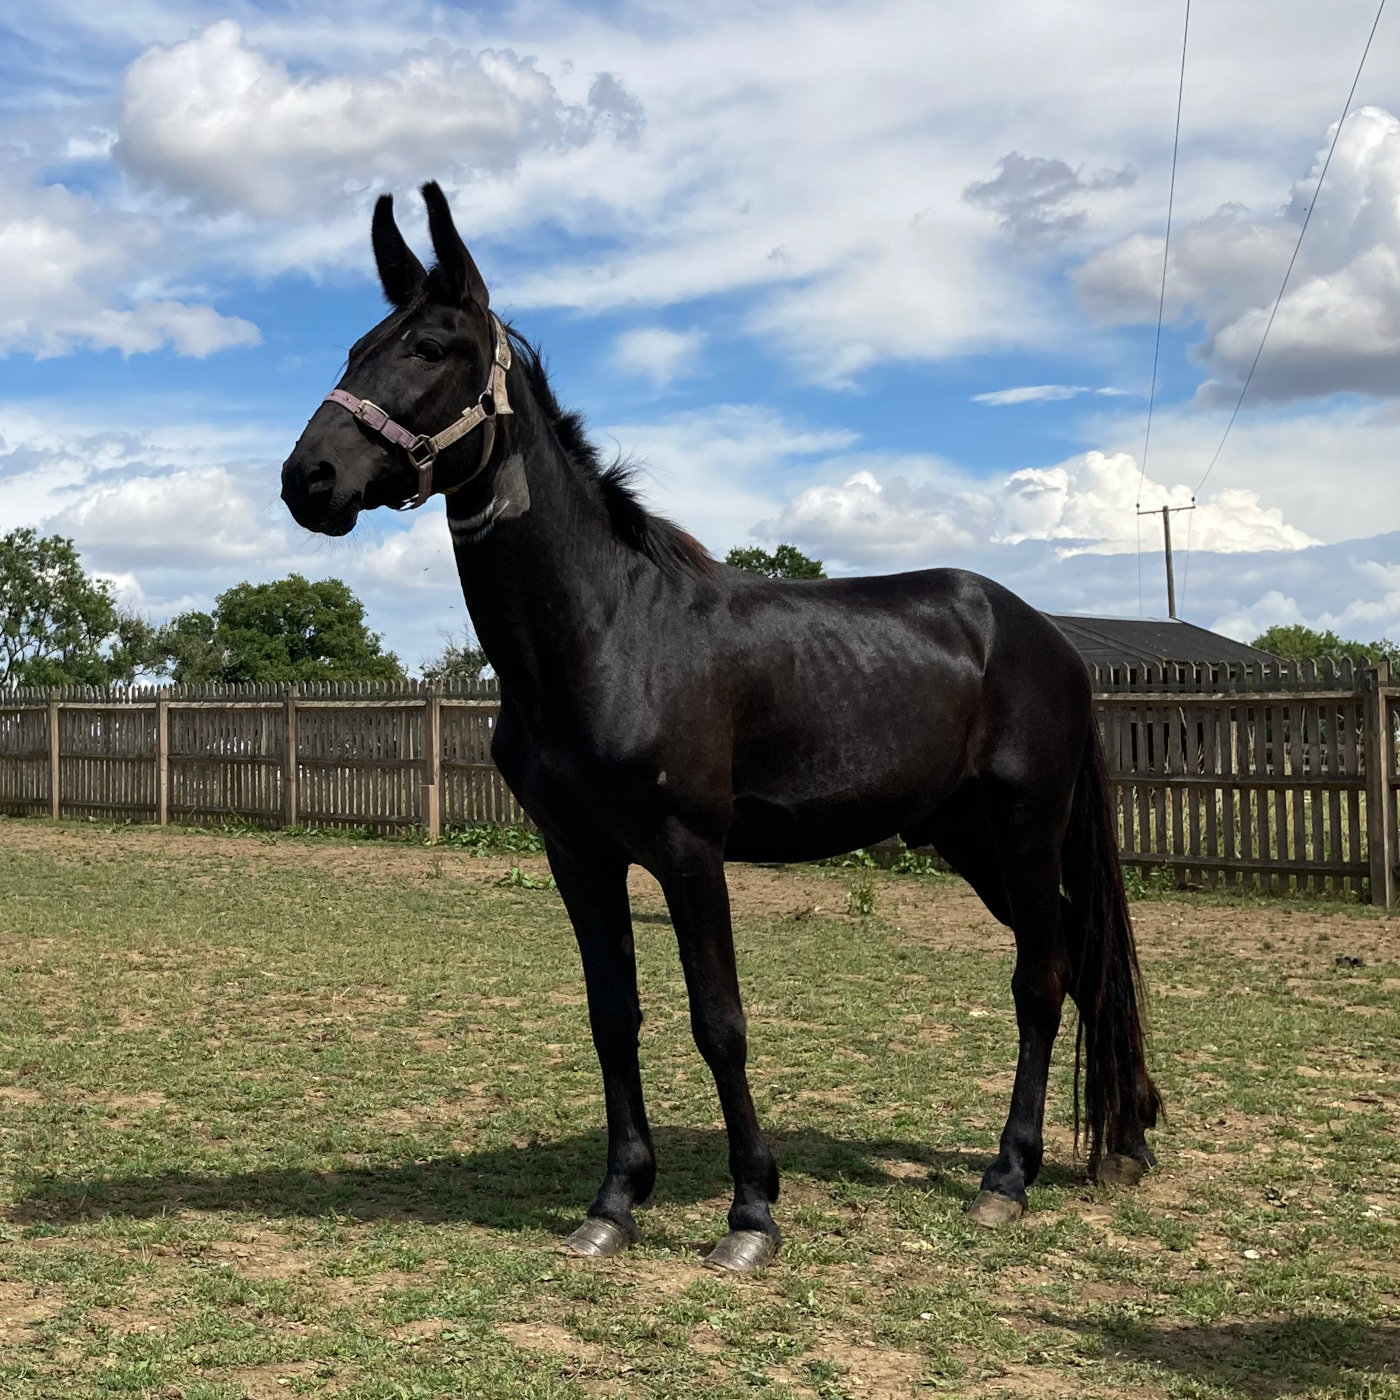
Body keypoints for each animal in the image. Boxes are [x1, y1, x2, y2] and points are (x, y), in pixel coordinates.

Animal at [280, 182, 1161, 1273]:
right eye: (358, 344)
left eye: (434, 346)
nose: (308, 479)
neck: (609, 633)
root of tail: (1047, 639)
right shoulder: (579, 855)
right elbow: (613, 1017)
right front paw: (614, 1202)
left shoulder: (690, 852)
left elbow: (719, 1022)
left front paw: (751, 1214)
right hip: (967, 837)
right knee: (1083, 958)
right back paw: (1124, 1140)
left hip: (1023, 827)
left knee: (1041, 978)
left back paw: (1007, 1177)